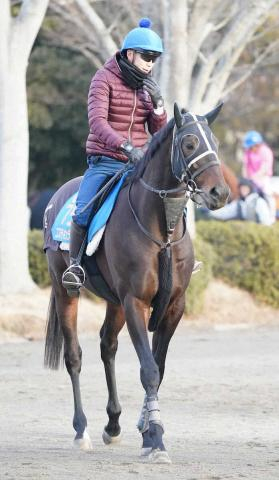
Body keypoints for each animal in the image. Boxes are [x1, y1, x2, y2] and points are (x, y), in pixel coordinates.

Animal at [44, 103, 230, 464]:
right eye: (189, 143)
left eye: (213, 141)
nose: (220, 192)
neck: (162, 231)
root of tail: (55, 197)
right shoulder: (136, 302)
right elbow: (149, 370)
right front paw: (154, 438)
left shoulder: (173, 306)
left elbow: (159, 366)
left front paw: (145, 425)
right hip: (65, 290)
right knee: (74, 356)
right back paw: (81, 430)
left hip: (114, 302)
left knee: (107, 346)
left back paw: (112, 424)